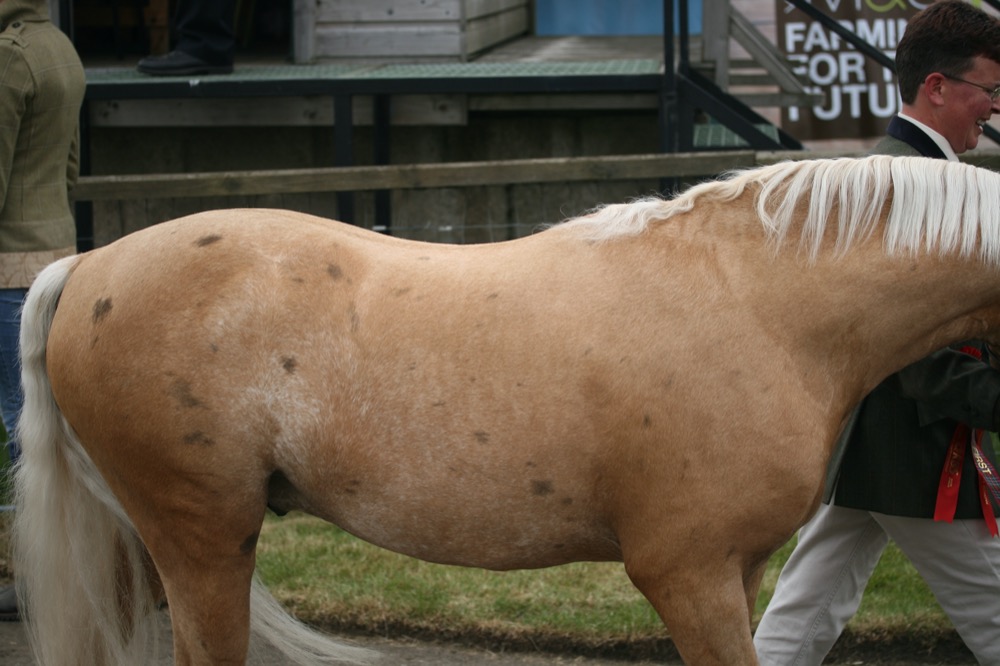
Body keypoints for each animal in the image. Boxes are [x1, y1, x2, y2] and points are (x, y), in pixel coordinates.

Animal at [11, 153, 1000, 660]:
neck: (760, 300)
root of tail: (89, 266)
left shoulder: (737, 571)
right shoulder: (689, 576)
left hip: (149, 546)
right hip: (205, 544)